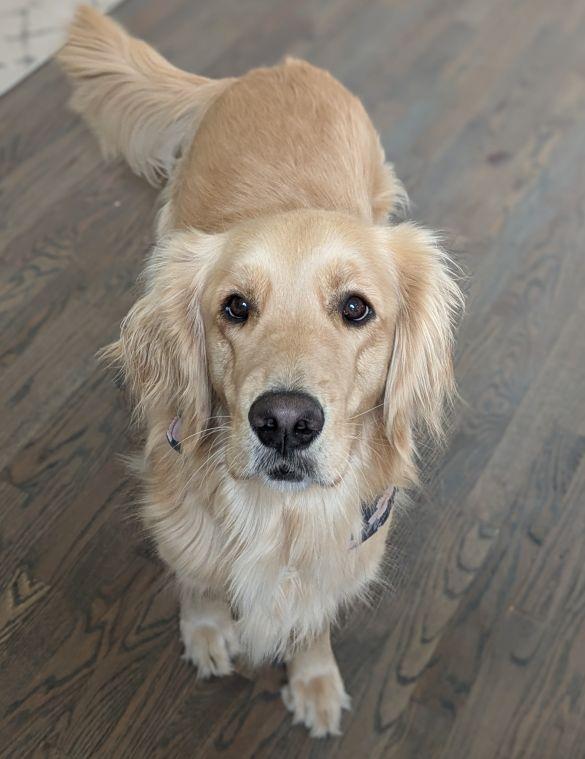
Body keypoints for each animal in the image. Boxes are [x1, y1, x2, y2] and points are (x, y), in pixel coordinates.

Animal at [59, 5, 462, 737]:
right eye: (235, 307)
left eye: (356, 308)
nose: (284, 422)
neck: (280, 519)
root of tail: (276, 69)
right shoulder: (177, 510)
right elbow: (196, 577)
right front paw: (206, 629)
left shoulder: (349, 543)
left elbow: (311, 617)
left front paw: (313, 677)